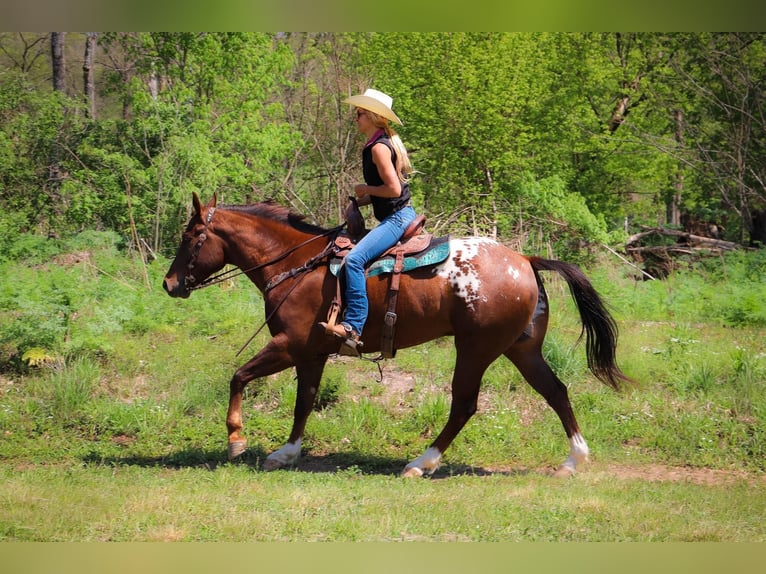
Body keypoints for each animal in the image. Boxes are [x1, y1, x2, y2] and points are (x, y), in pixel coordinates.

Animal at [162, 196, 632, 480]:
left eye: (191, 236)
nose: (169, 284)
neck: (297, 264)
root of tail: (525, 258)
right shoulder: (312, 353)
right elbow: (304, 402)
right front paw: (287, 452)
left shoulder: (289, 345)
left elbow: (239, 376)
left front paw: (236, 440)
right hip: (521, 349)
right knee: (556, 391)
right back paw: (574, 459)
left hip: (476, 349)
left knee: (464, 405)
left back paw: (421, 463)